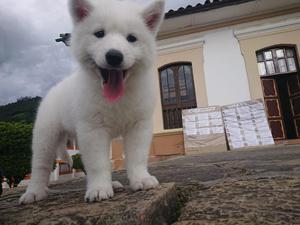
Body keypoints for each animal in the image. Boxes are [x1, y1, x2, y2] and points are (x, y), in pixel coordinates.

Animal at [19, 0, 165, 204]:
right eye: (99, 34)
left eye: (131, 38)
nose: (114, 56)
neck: (117, 97)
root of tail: (53, 90)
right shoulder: (93, 129)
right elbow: (98, 163)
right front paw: (99, 189)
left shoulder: (139, 126)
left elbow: (137, 157)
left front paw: (140, 179)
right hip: (46, 136)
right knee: (40, 166)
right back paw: (34, 192)